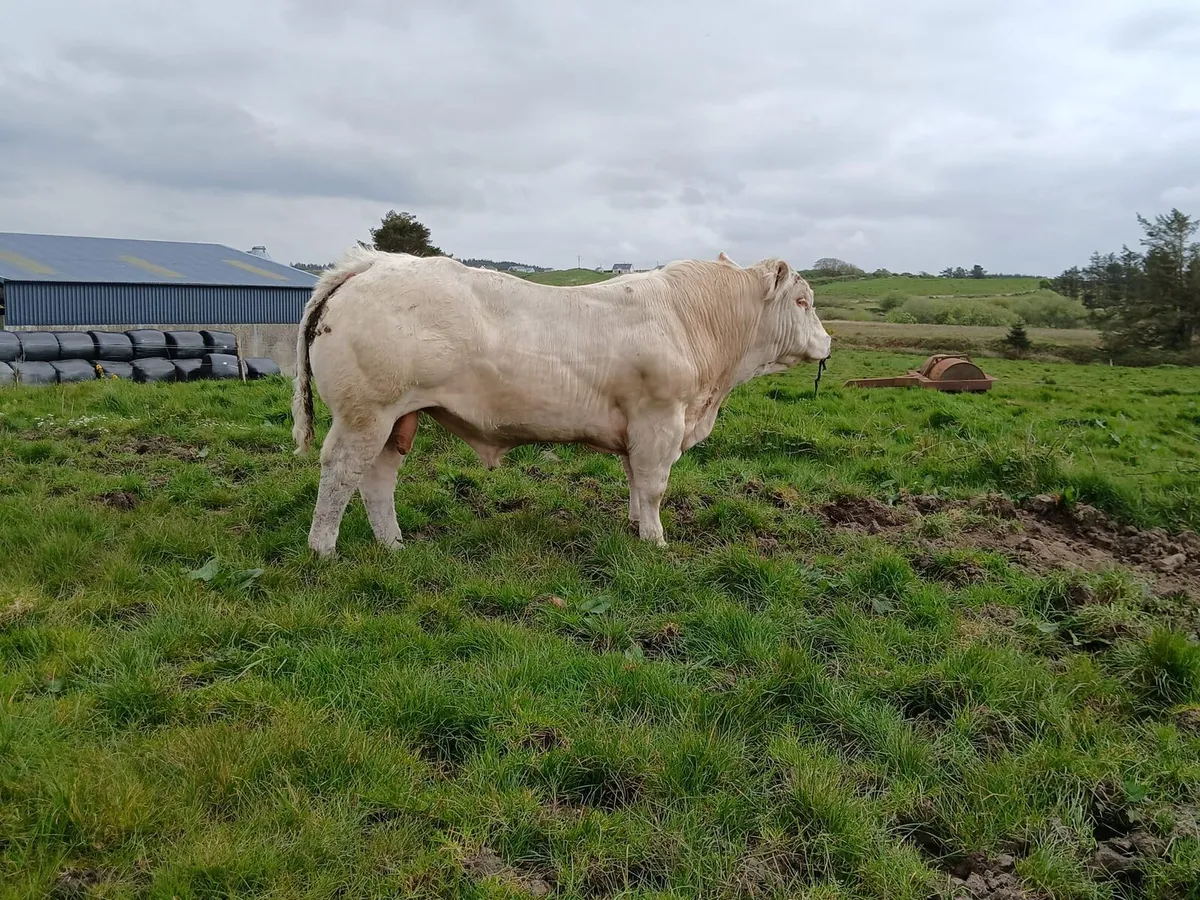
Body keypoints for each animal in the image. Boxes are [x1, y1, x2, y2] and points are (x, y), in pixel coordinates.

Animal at [291, 248, 831, 557]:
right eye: (802, 301)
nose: (827, 342)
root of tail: (378, 262)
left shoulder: (636, 427)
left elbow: (634, 481)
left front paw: (635, 526)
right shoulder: (660, 420)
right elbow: (654, 486)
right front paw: (656, 541)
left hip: (396, 417)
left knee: (377, 480)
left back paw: (394, 546)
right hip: (366, 413)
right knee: (340, 473)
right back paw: (323, 551)